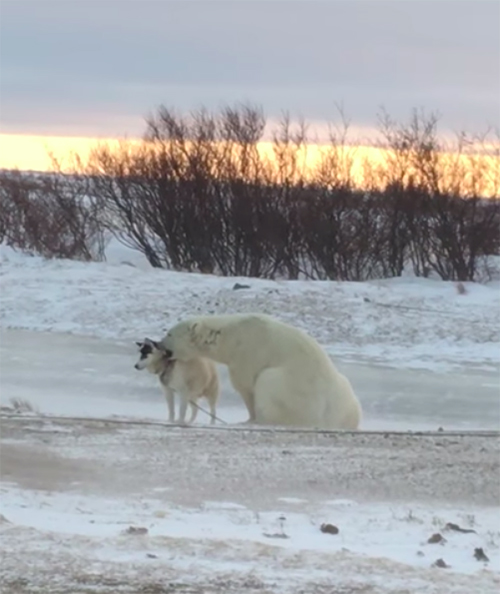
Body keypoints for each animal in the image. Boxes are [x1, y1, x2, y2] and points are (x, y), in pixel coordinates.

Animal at [162, 312, 362, 428]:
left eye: (169, 333)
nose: (158, 343)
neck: (232, 336)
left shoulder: (246, 354)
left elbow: (246, 386)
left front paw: (249, 418)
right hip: (345, 394)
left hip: (293, 391)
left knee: (268, 381)